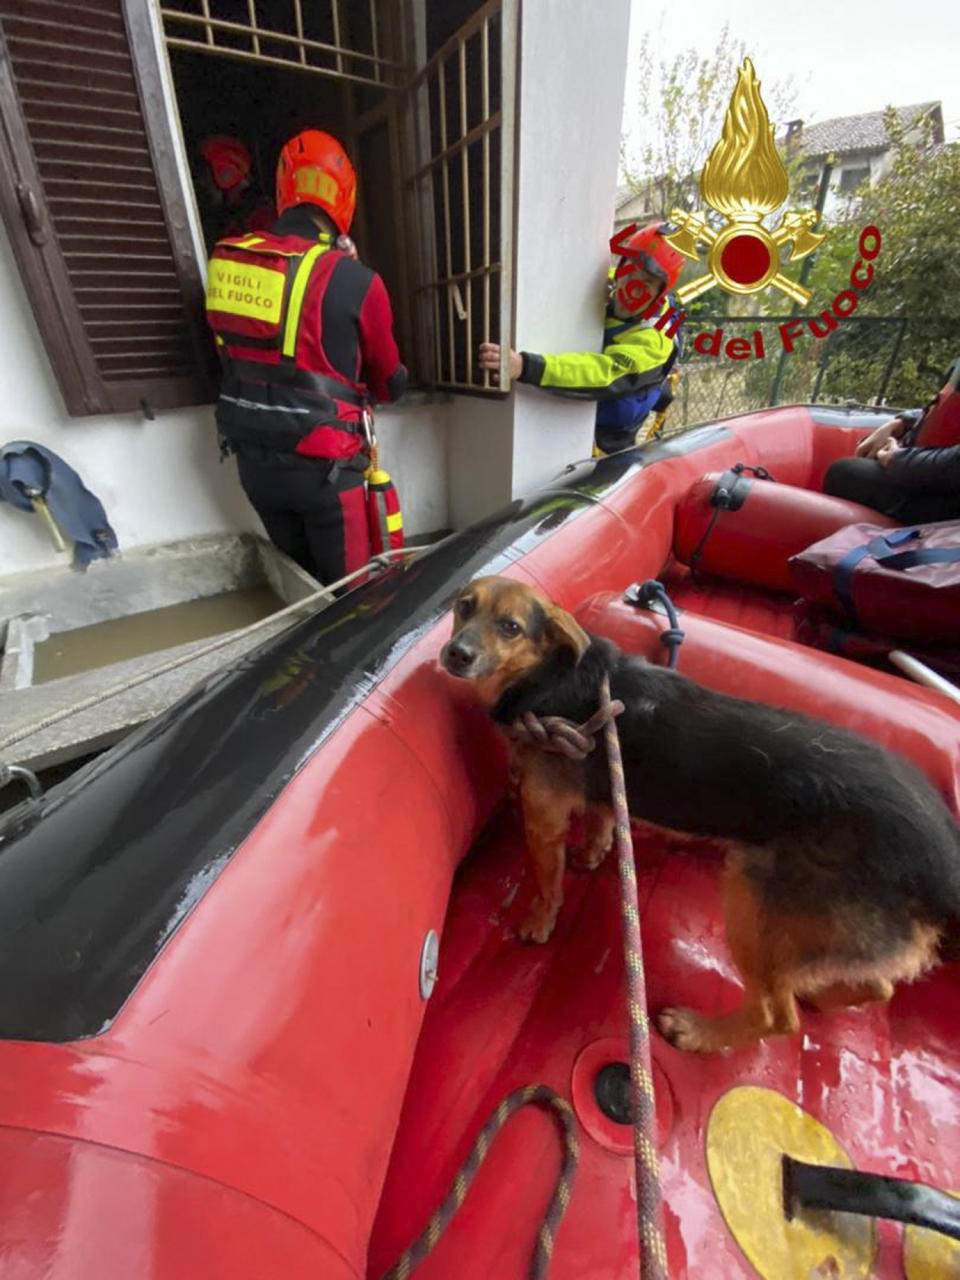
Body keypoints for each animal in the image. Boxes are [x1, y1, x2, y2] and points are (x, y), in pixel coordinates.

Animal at [442, 578, 960, 1049]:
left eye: (510, 627)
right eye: (464, 606)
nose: (455, 654)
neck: (550, 678)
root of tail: (941, 862)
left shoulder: (543, 816)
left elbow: (547, 881)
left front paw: (539, 922)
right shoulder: (607, 786)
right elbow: (603, 820)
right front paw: (593, 854)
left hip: (752, 896)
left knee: (776, 1015)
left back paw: (698, 1033)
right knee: (876, 984)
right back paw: (817, 992)